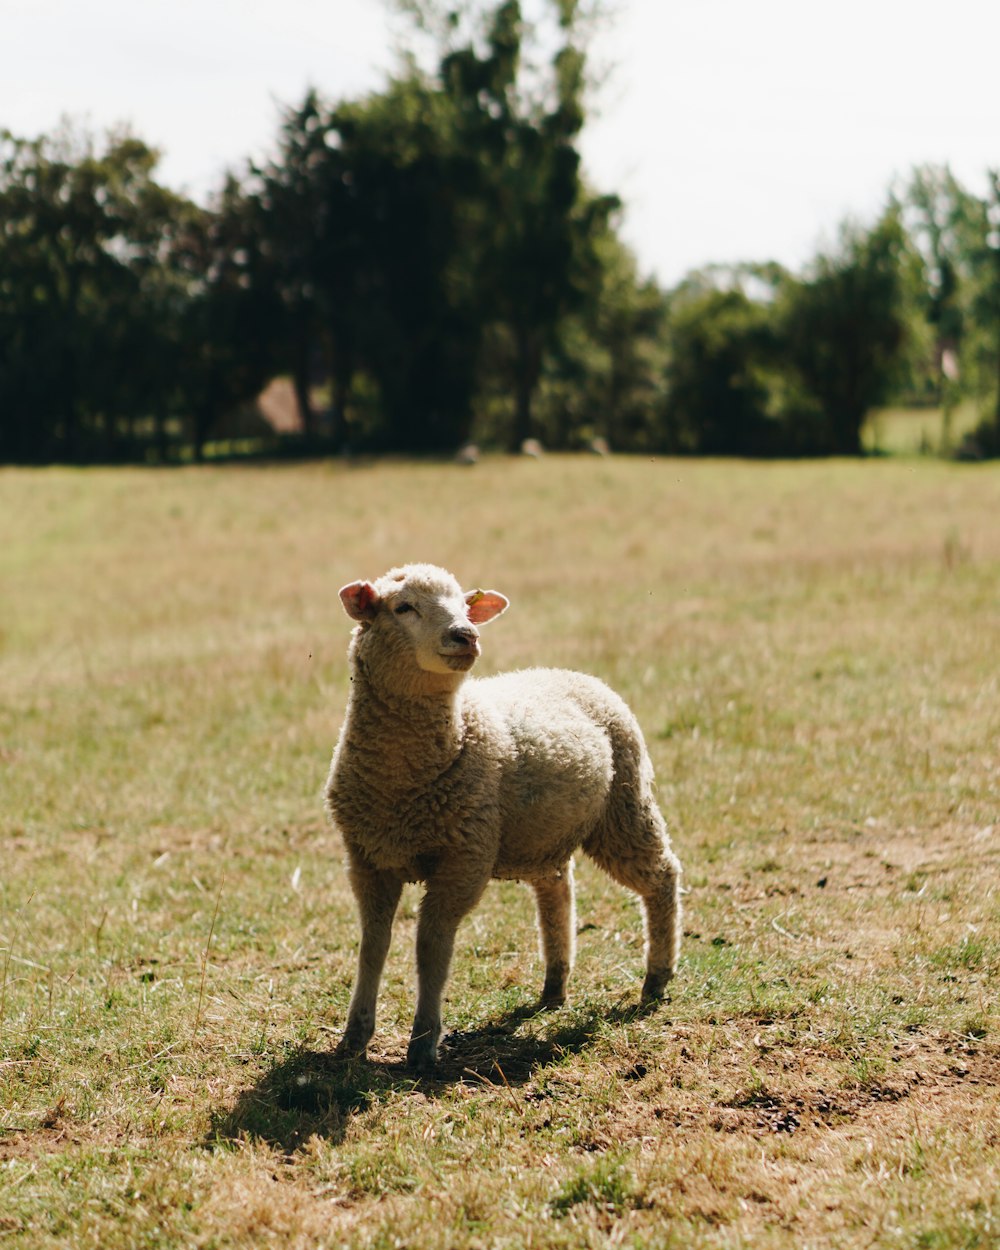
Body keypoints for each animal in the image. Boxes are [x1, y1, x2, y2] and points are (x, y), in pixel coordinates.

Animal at [325, 562, 685, 1070]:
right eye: (403, 607)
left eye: (463, 604)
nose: (466, 634)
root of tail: (568, 673)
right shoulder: (367, 860)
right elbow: (372, 946)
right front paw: (355, 1035)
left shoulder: (464, 860)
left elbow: (431, 948)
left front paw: (423, 1042)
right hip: (546, 835)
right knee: (557, 891)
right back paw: (555, 984)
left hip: (625, 806)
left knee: (661, 876)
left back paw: (656, 977)